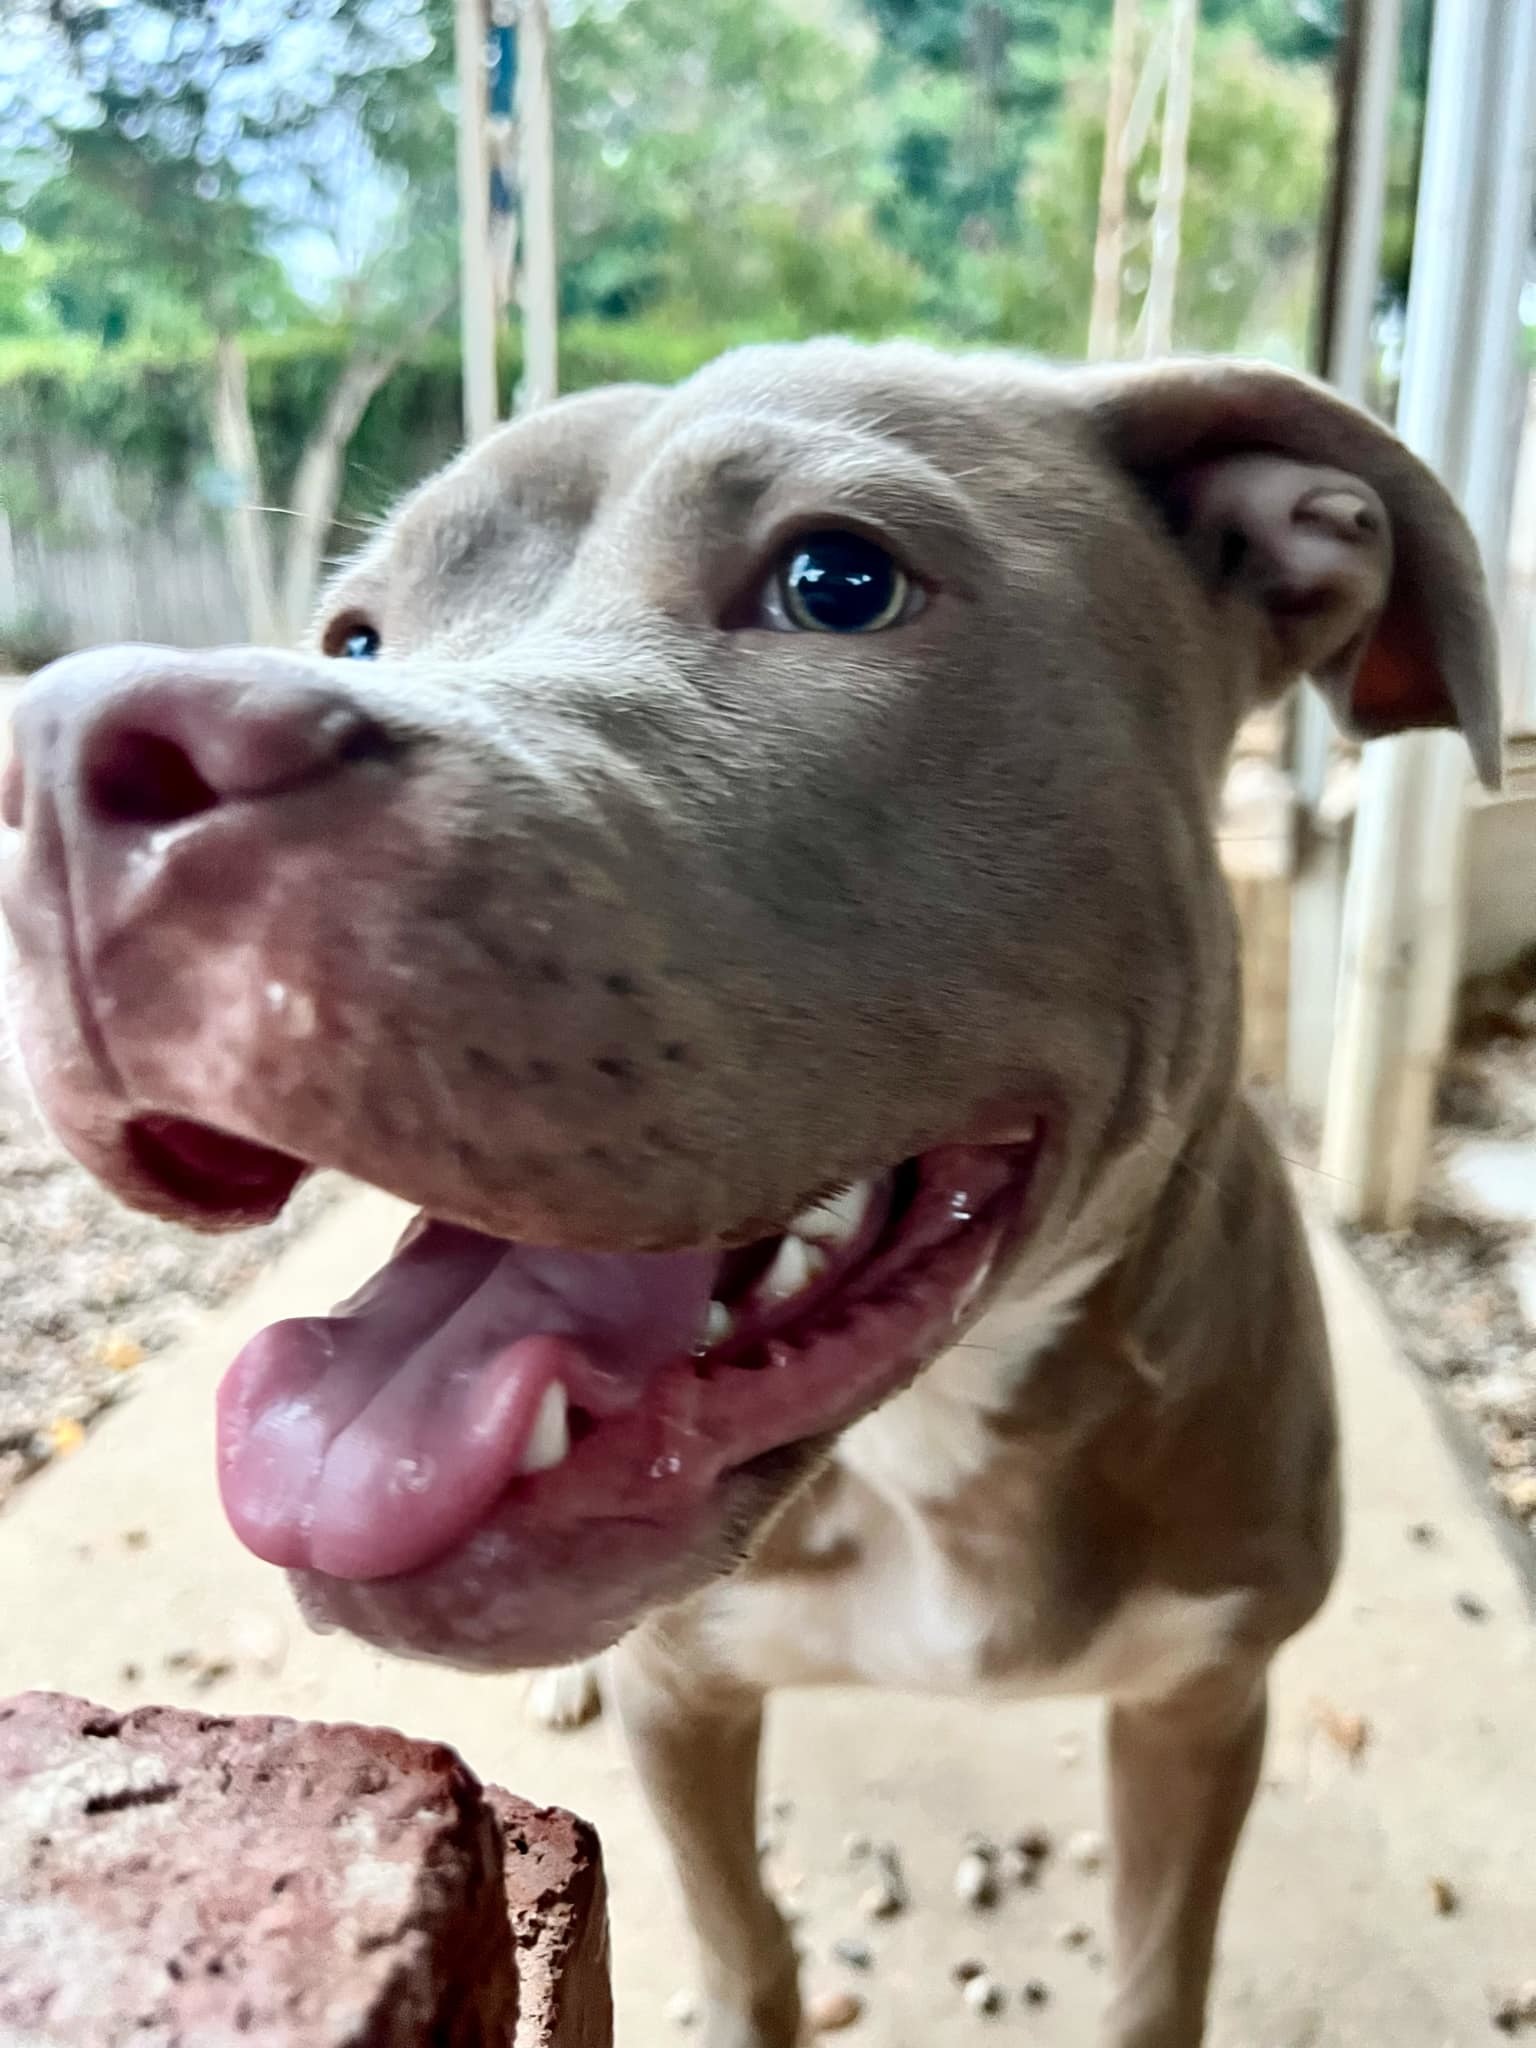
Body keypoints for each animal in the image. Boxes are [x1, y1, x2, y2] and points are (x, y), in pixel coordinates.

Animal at [0, 344, 1507, 2039]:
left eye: (837, 580)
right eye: (359, 634)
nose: (67, 756)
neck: (936, 1428)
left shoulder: (1203, 1703)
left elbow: (1150, 1979)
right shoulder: (689, 1695)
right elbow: (746, 1949)